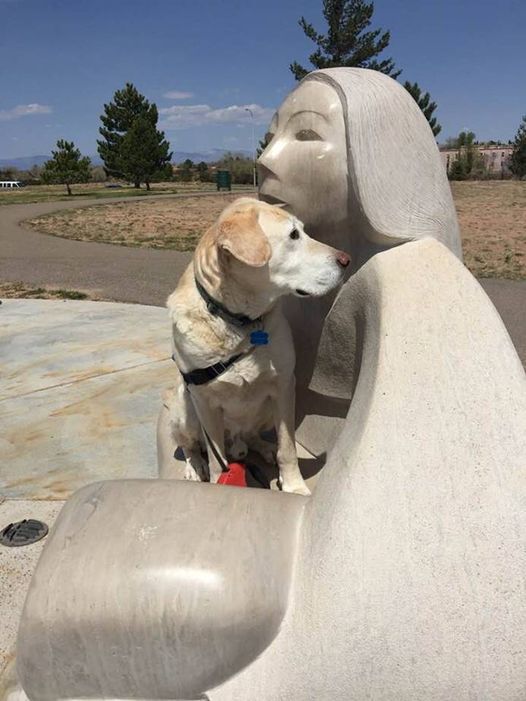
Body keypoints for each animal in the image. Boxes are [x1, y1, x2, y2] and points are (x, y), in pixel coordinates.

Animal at [161, 194, 350, 494]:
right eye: (293, 235)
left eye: (303, 231)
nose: (347, 259)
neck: (242, 322)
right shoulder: (204, 400)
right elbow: (217, 460)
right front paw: (219, 481)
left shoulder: (284, 386)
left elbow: (288, 448)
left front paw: (293, 485)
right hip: (185, 409)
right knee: (191, 445)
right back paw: (195, 466)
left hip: (265, 410)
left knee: (250, 437)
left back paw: (264, 447)